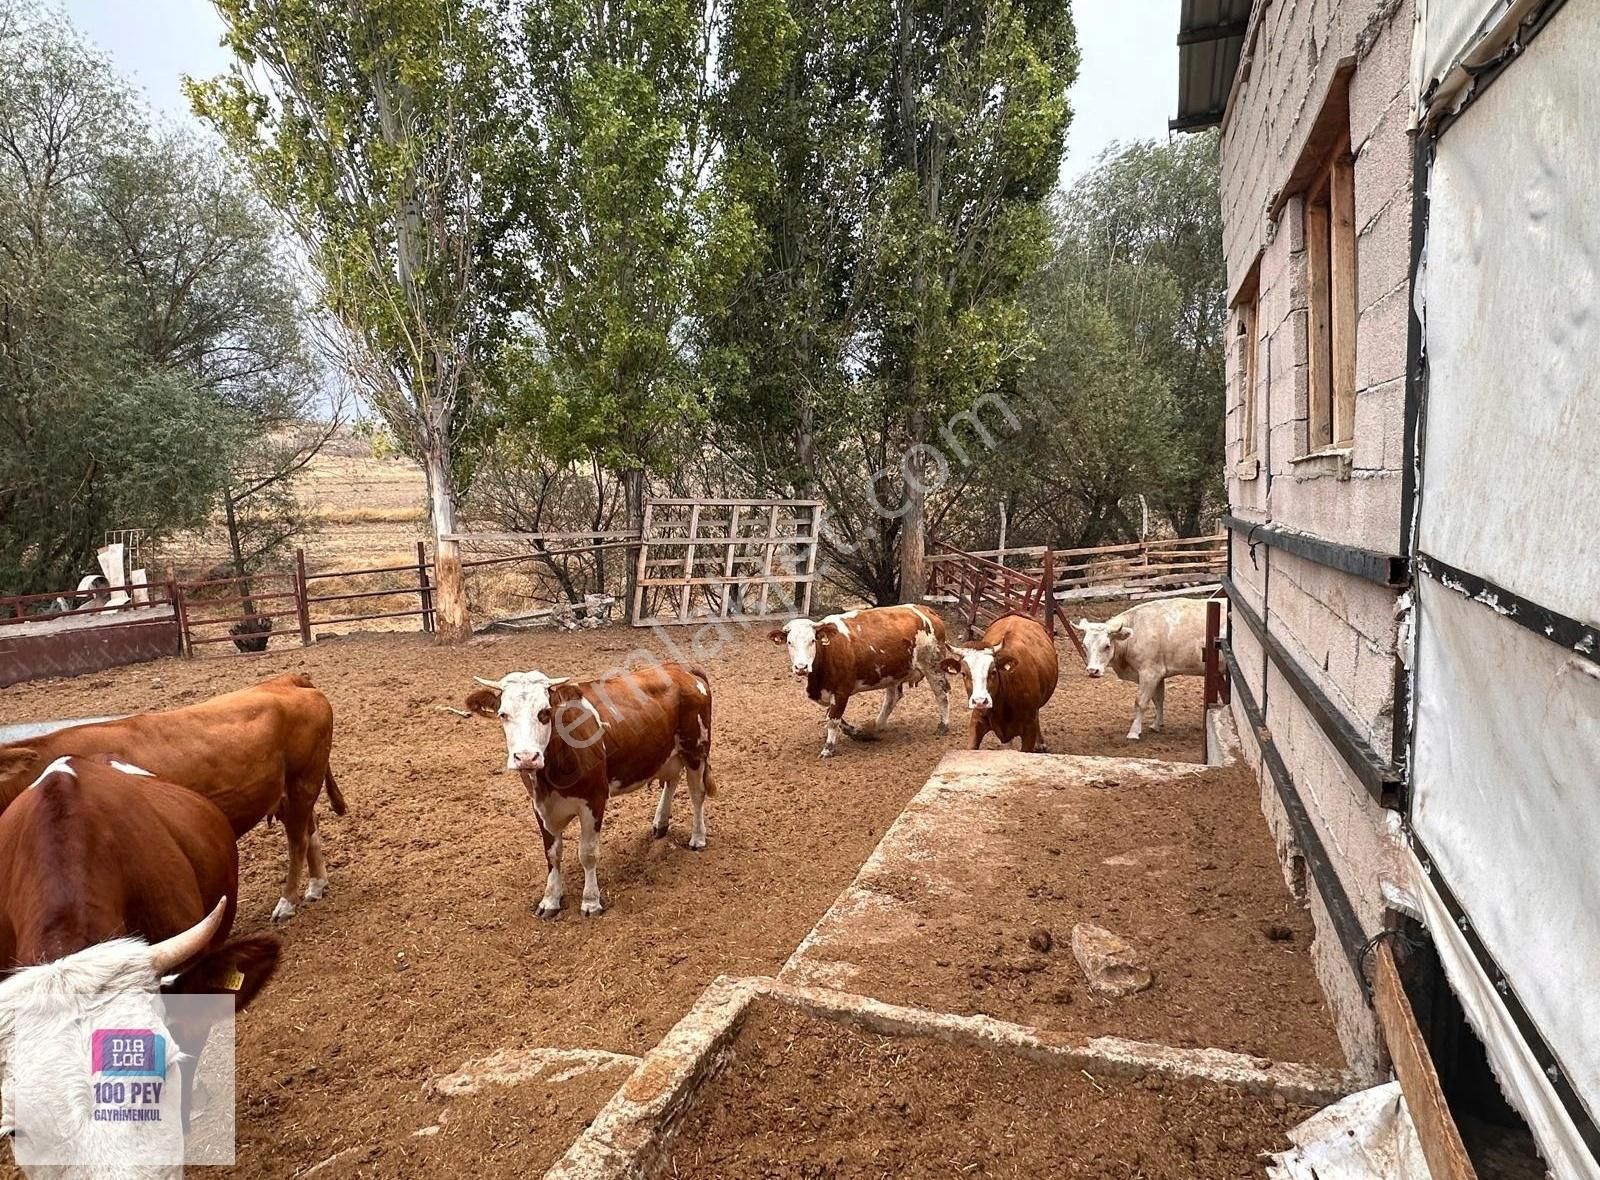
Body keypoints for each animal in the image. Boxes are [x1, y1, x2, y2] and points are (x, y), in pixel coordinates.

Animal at [0, 671, 347, 920]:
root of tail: (286, 680)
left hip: (304, 782)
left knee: (297, 840)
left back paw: (286, 902)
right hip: (292, 789)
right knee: (309, 829)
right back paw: (317, 884)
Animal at [464, 658, 713, 914]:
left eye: (545, 712)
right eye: (503, 714)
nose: (526, 757)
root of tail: (681, 669)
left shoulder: (594, 800)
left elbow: (588, 853)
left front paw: (591, 901)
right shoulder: (539, 805)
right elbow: (552, 854)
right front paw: (550, 899)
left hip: (695, 750)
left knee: (697, 794)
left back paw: (697, 837)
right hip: (668, 753)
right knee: (671, 780)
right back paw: (660, 823)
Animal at [771, 601, 947, 757]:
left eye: (812, 641)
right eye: (789, 642)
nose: (801, 667)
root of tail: (925, 610)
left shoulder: (841, 691)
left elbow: (833, 719)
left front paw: (828, 748)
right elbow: (831, 716)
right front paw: (856, 732)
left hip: (934, 665)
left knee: (942, 694)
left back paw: (943, 725)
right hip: (893, 674)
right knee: (892, 698)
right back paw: (875, 728)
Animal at [1075, 597, 1222, 735]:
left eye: (1107, 645)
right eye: (1084, 645)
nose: (1092, 670)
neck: (1136, 632)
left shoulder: (1150, 673)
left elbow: (1140, 702)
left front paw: (1134, 731)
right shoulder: (1159, 674)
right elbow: (1158, 699)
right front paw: (1156, 725)